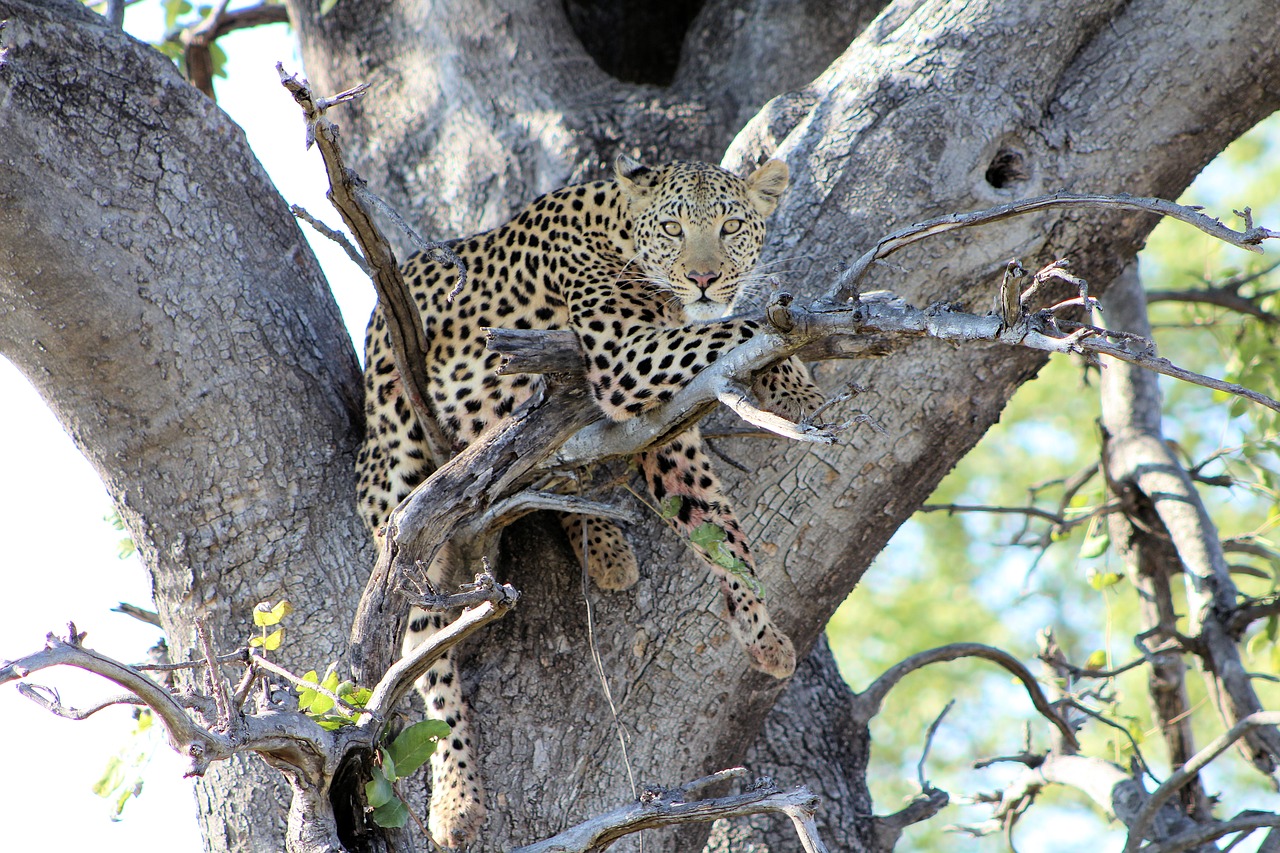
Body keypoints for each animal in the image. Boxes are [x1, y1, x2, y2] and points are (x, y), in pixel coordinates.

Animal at [355, 154, 824, 845]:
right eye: (676, 228)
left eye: (731, 225)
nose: (704, 278)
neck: (622, 232)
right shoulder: (626, 353)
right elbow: (742, 325)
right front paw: (795, 381)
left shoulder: (668, 423)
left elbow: (716, 521)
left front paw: (760, 631)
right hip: (401, 497)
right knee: (424, 662)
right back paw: (456, 800)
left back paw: (605, 549)